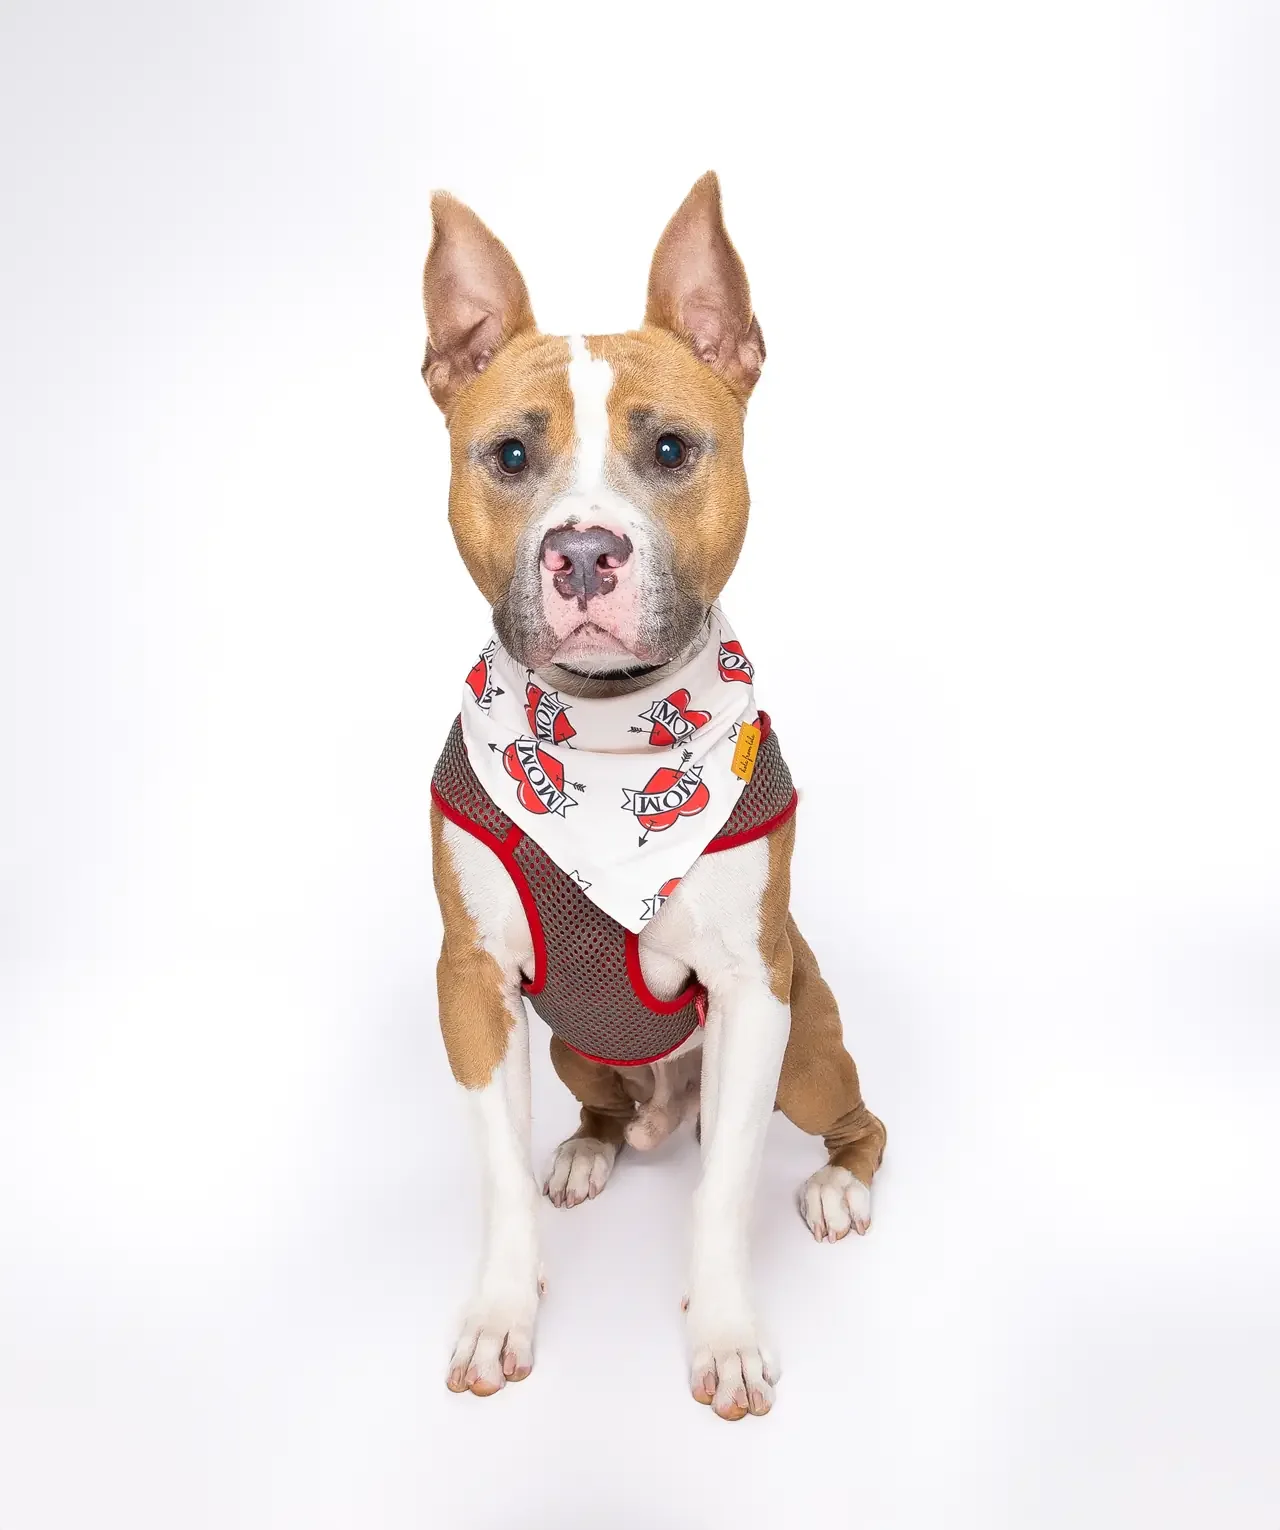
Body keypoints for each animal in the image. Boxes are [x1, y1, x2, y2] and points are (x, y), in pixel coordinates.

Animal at [421, 172, 886, 1421]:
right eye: (508, 456)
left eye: (672, 448)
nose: (583, 552)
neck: (607, 745)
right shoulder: (471, 985)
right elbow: (490, 1171)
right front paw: (499, 1313)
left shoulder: (752, 992)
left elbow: (720, 1192)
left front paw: (722, 1336)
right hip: (578, 1049)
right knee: (604, 1108)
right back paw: (589, 1149)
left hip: (809, 1048)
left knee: (851, 1122)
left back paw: (838, 1187)